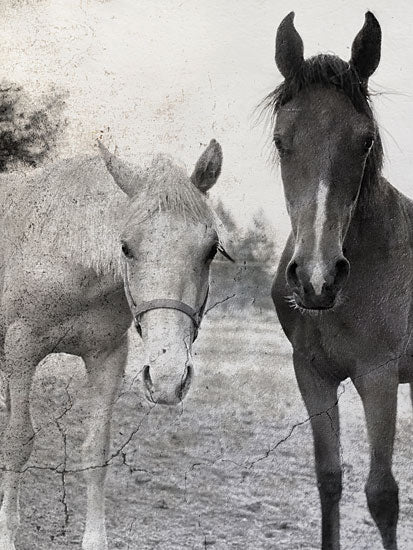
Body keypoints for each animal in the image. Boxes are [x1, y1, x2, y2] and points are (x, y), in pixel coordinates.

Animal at [268, 10, 408, 550]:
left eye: (364, 140)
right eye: (281, 140)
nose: (317, 279)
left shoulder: (378, 376)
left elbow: (382, 495)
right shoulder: (312, 373)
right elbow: (329, 478)